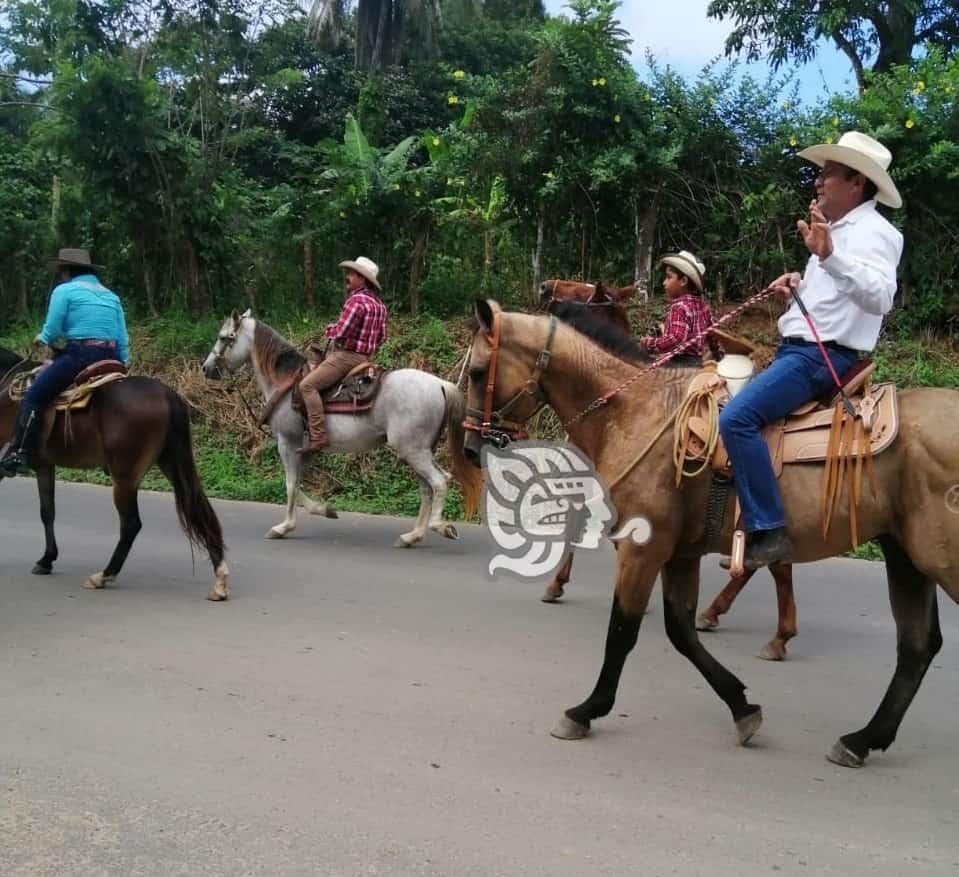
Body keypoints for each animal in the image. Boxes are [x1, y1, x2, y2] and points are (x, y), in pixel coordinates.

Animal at [0, 346, 229, 600]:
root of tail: (168, 395)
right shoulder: (44, 465)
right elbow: (47, 512)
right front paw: (47, 559)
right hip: (171, 463)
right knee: (200, 508)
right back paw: (220, 579)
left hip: (125, 478)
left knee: (131, 525)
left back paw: (103, 575)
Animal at [464, 302, 959, 768]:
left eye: (476, 372)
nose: (470, 447)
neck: (635, 411)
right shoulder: (679, 553)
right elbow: (680, 631)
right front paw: (742, 707)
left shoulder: (643, 548)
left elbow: (622, 631)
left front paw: (586, 711)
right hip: (905, 555)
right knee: (917, 646)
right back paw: (862, 739)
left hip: (936, 558)